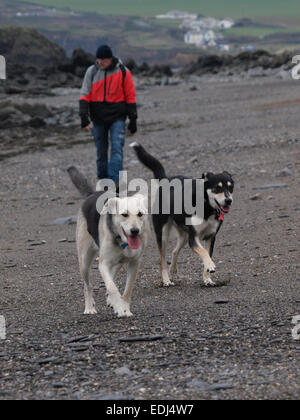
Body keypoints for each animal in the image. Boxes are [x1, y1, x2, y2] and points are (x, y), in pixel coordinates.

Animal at [129, 143, 234, 288]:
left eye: (230, 187)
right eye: (217, 188)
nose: (229, 200)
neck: (207, 206)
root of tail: (166, 179)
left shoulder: (210, 237)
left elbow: (207, 253)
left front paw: (207, 278)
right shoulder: (193, 238)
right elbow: (204, 252)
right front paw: (210, 266)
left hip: (184, 234)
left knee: (174, 251)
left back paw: (173, 268)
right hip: (163, 234)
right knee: (162, 259)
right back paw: (166, 280)